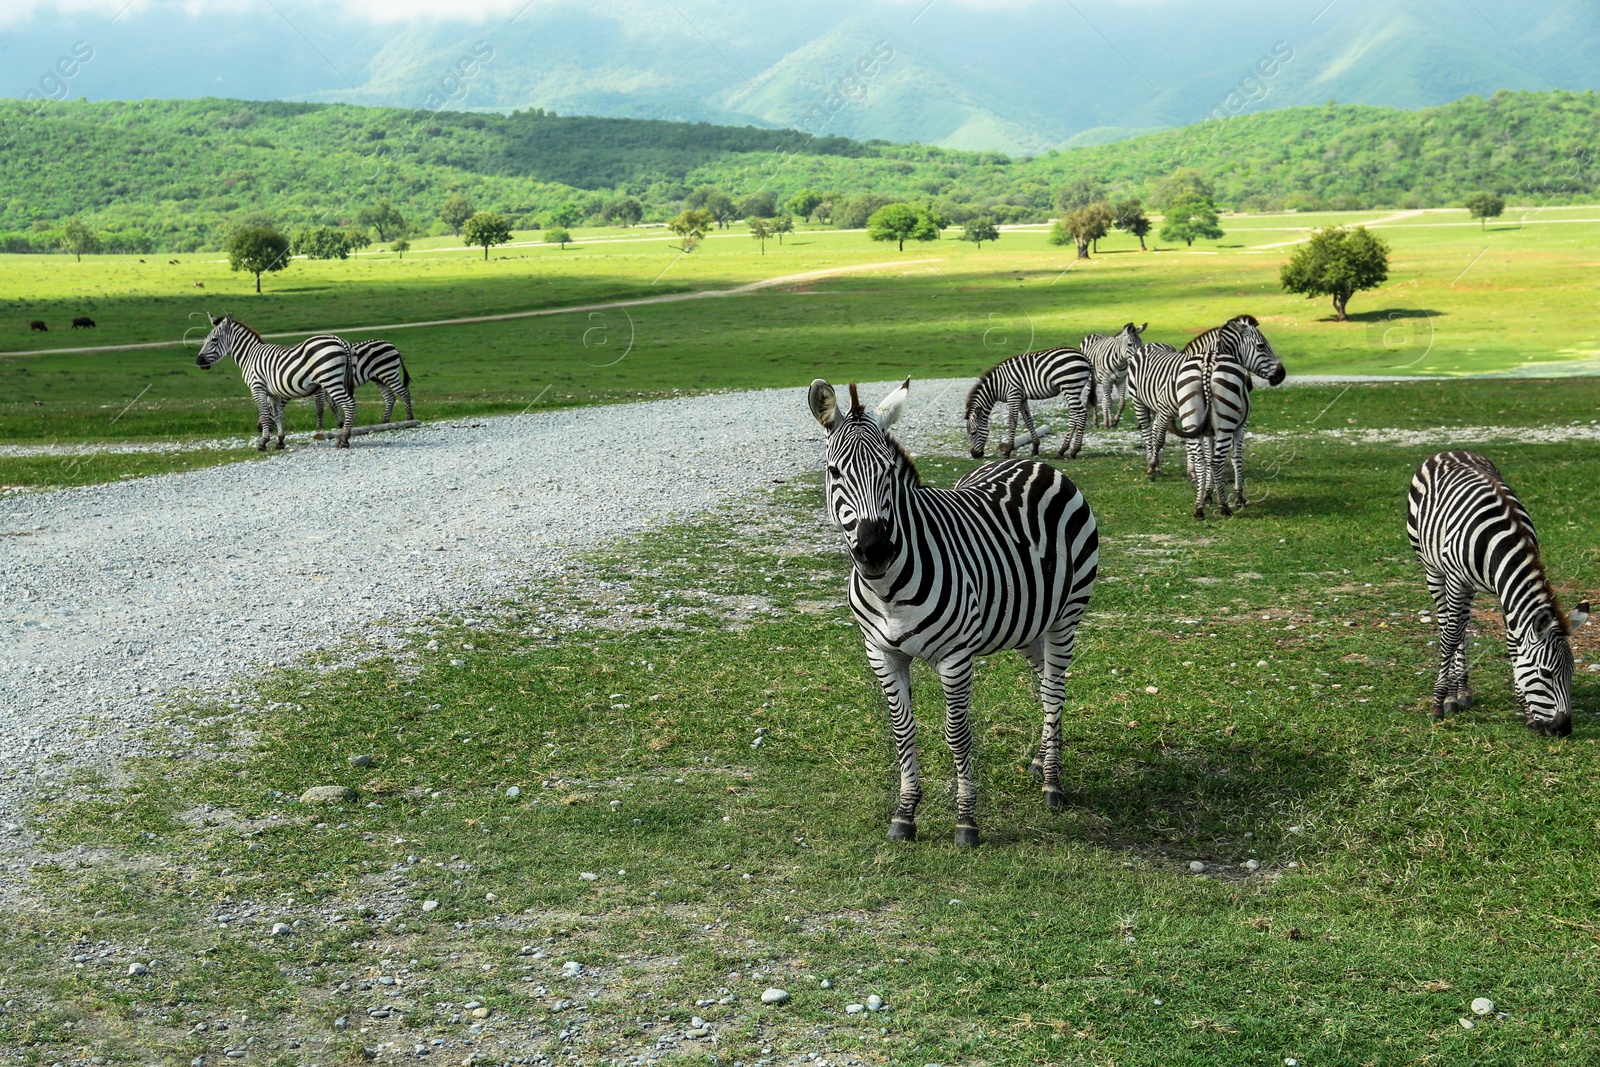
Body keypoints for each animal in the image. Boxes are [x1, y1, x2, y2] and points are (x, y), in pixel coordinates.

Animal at [193, 315, 356, 454]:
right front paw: (280, 442)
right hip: (338, 380)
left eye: (214, 340)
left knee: (349, 404)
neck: (249, 355)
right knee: (348, 403)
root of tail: (338, 339)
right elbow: (277, 415)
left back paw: (344, 440)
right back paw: (343, 437)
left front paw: (263, 443)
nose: (198, 361)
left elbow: (265, 415)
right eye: (205, 339)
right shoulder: (273, 393)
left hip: (331, 380)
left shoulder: (257, 388)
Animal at [812, 379, 1100, 844]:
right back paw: (1042, 760)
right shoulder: (882, 654)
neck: (888, 588)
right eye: (835, 472)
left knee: (1055, 690)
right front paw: (905, 813)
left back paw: (1052, 783)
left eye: (888, 472)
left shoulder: (955, 657)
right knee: (1044, 686)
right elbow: (903, 731)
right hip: (1026, 623)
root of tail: (1030, 462)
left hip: (1065, 617)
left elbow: (957, 734)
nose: (875, 551)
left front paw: (966, 820)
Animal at [960, 347, 1100, 454]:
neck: (997, 385)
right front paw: (1035, 448)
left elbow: (1012, 421)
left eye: (973, 433)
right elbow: (1028, 420)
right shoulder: (1022, 398)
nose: (974, 455)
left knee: (1081, 413)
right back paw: (1064, 449)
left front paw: (1008, 450)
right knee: (1074, 414)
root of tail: (1084, 357)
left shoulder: (1013, 395)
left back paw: (1072, 450)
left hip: (1070, 386)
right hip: (1073, 389)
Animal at [1177, 313, 1286, 521]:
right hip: (1226, 426)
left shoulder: (1208, 432)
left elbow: (1208, 457)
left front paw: (1207, 494)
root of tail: (1208, 362)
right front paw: (1239, 497)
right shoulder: (1240, 427)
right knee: (1218, 460)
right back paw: (1224, 507)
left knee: (1202, 461)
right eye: (1261, 346)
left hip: (1191, 421)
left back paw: (1199, 508)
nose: (1282, 374)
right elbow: (1237, 457)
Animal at [1401, 451, 1587, 735]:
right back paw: (1452, 695)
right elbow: (1450, 638)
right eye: (1545, 673)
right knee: (1448, 627)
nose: (1563, 729)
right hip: (1433, 569)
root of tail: (1450, 451)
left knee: (1462, 626)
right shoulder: (1456, 580)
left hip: (1467, 587)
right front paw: (1438, 703)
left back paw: (1462, 691)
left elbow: (1512, 643)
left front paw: (1526, 711)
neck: (1501, 542)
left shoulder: (1507, 592)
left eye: (1572, 672)